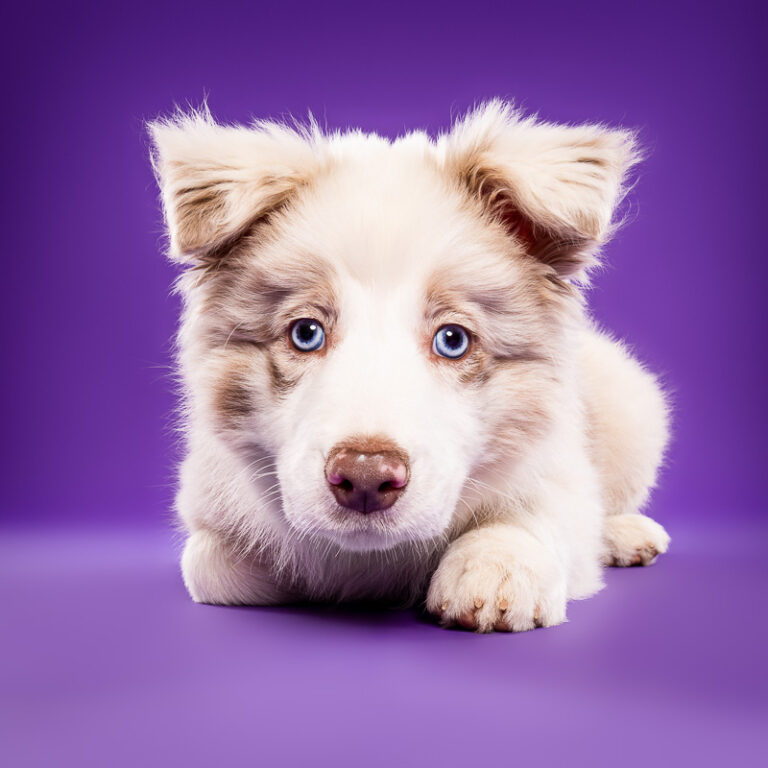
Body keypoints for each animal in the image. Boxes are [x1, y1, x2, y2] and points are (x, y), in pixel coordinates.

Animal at [148, 100, 664, 632]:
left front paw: (494, 569)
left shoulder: (558, 467)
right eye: (306, 333)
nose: (366, 478)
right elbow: (216, 564)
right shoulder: (209, 508)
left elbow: (542, 516)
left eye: (452, 340)